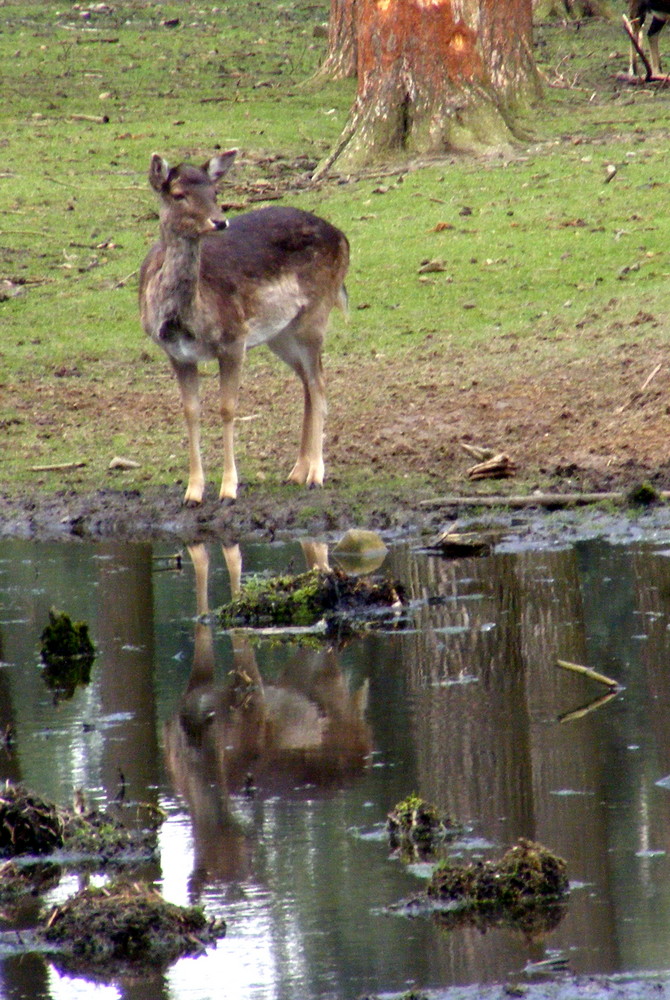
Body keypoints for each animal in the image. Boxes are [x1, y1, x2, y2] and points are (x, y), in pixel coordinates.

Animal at [138, 149, 350, 504]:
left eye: (215, 192)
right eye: (178, 194)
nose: (220, 221)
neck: (185, 321)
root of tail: (343, 237)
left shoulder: (234, 339)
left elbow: (227, 408)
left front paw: (228, 489)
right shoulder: (175, 353)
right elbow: (190, 410)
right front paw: (193, 492)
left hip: (316, 314)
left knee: (320, 384)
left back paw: (316, 475)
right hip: (280, 334)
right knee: (307, 383)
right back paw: (297, 471)